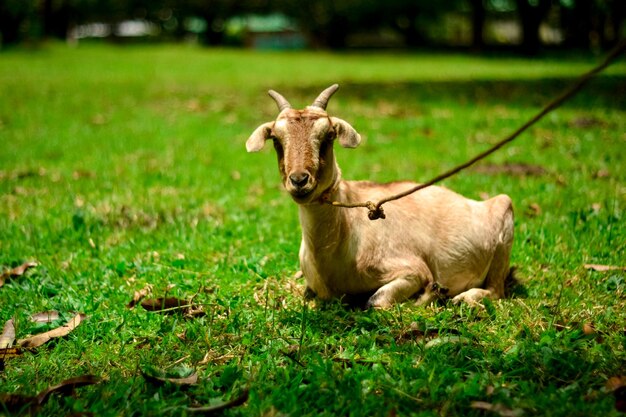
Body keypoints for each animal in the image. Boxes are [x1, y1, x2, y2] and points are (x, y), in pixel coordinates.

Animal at [246, 84, 516, 308]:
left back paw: (463, 298)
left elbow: (376, 300)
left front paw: (429, 294)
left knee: (496, 290)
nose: (300, 180)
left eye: (329, 136)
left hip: (504, 227)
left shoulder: (411, 269)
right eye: (276, 140)